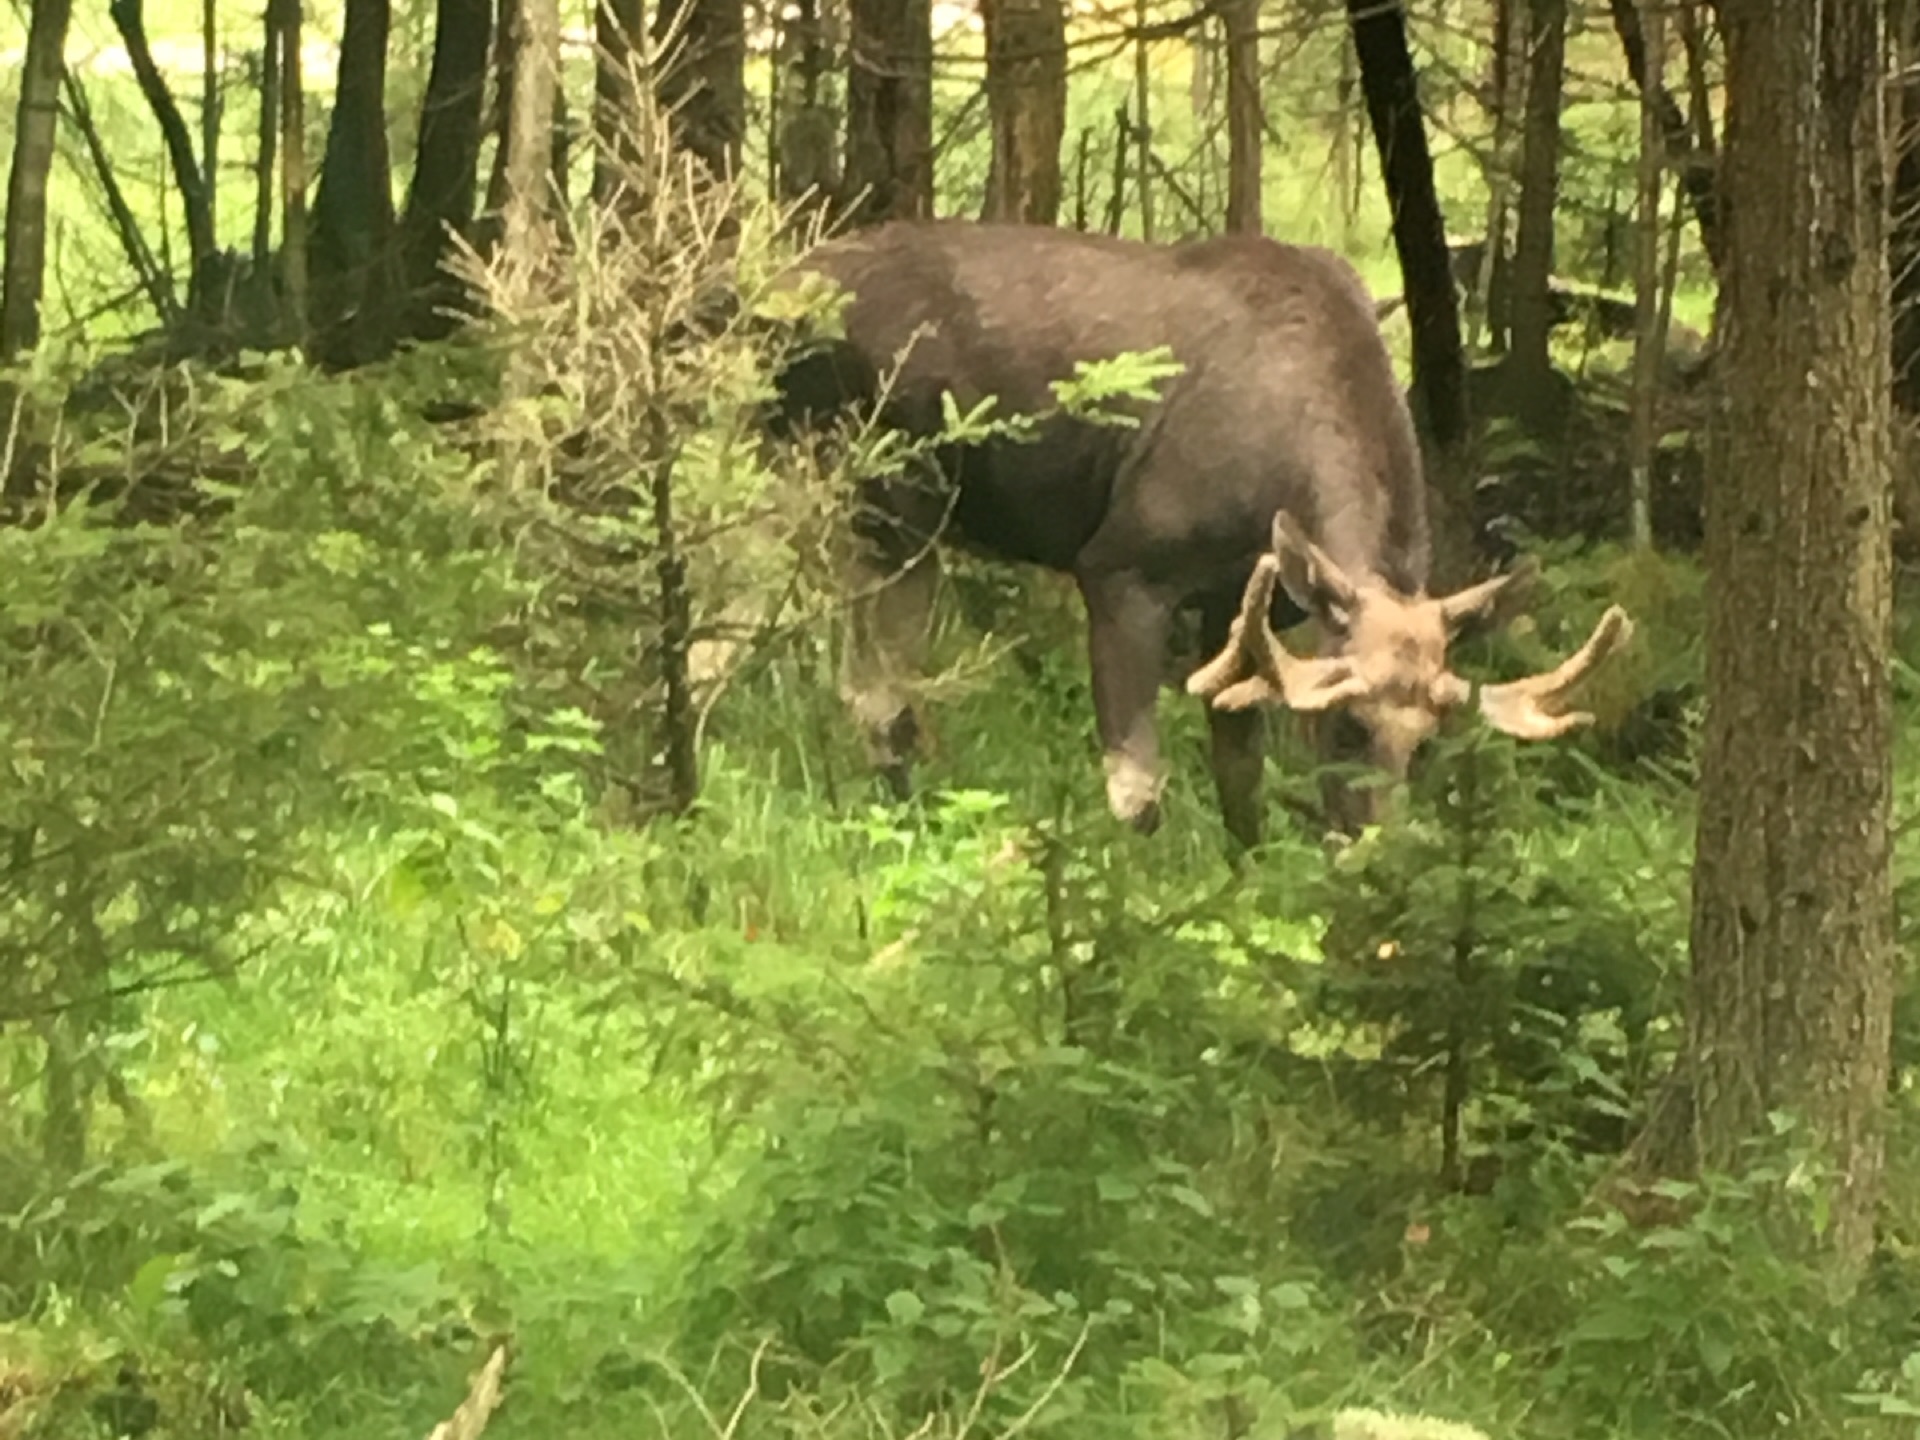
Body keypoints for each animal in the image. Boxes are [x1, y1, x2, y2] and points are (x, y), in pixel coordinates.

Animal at [771, 221, 1628, 852]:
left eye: (1426, 743)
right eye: (1346, 724)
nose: (1376, 849)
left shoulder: (1238, 610)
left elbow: (1239, 784)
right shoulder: (1120, 569)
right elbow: (1137, 792)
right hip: (885, 501)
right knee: (873, 692)